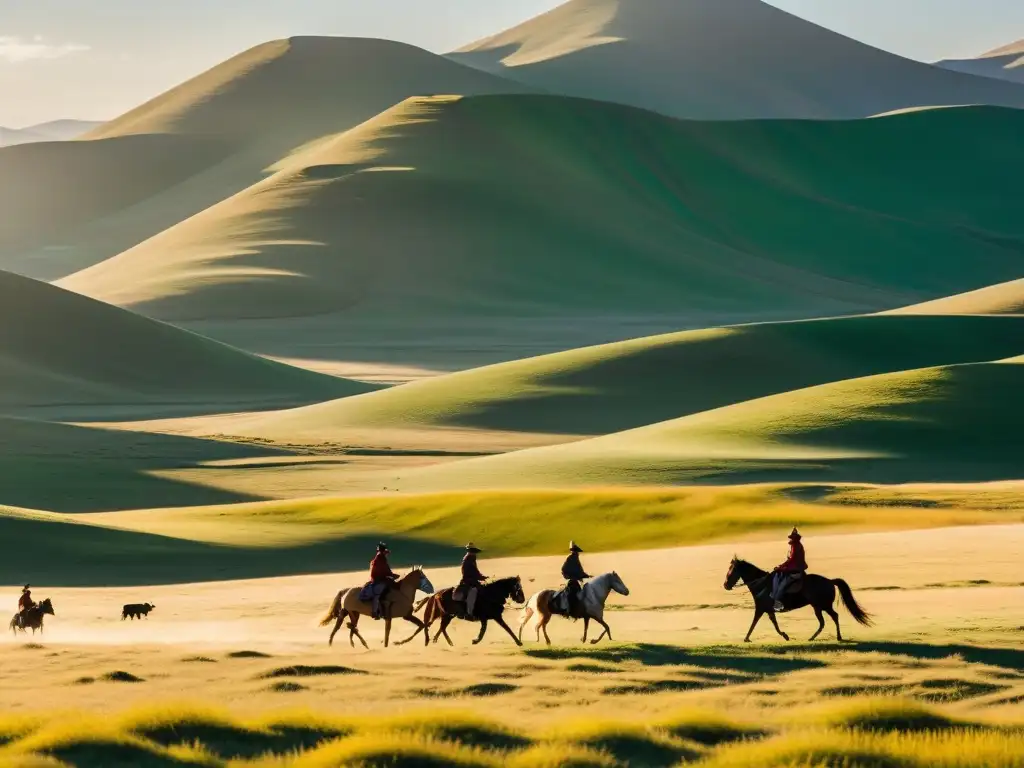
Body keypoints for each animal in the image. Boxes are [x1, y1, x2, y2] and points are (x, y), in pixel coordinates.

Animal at [720, 561, 872, 643]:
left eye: (731, 570)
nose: (725, 585)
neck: (761, 584)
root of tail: (830, 580)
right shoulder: (768, 610)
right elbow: (775, 625)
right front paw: (785, 636)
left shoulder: (760, 609)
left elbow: (753, 624)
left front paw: (746, 638)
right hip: (818, 606)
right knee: (824, 621)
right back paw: (814, 637)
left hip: (822, 606)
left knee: (833, 617)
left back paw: (836, 637)